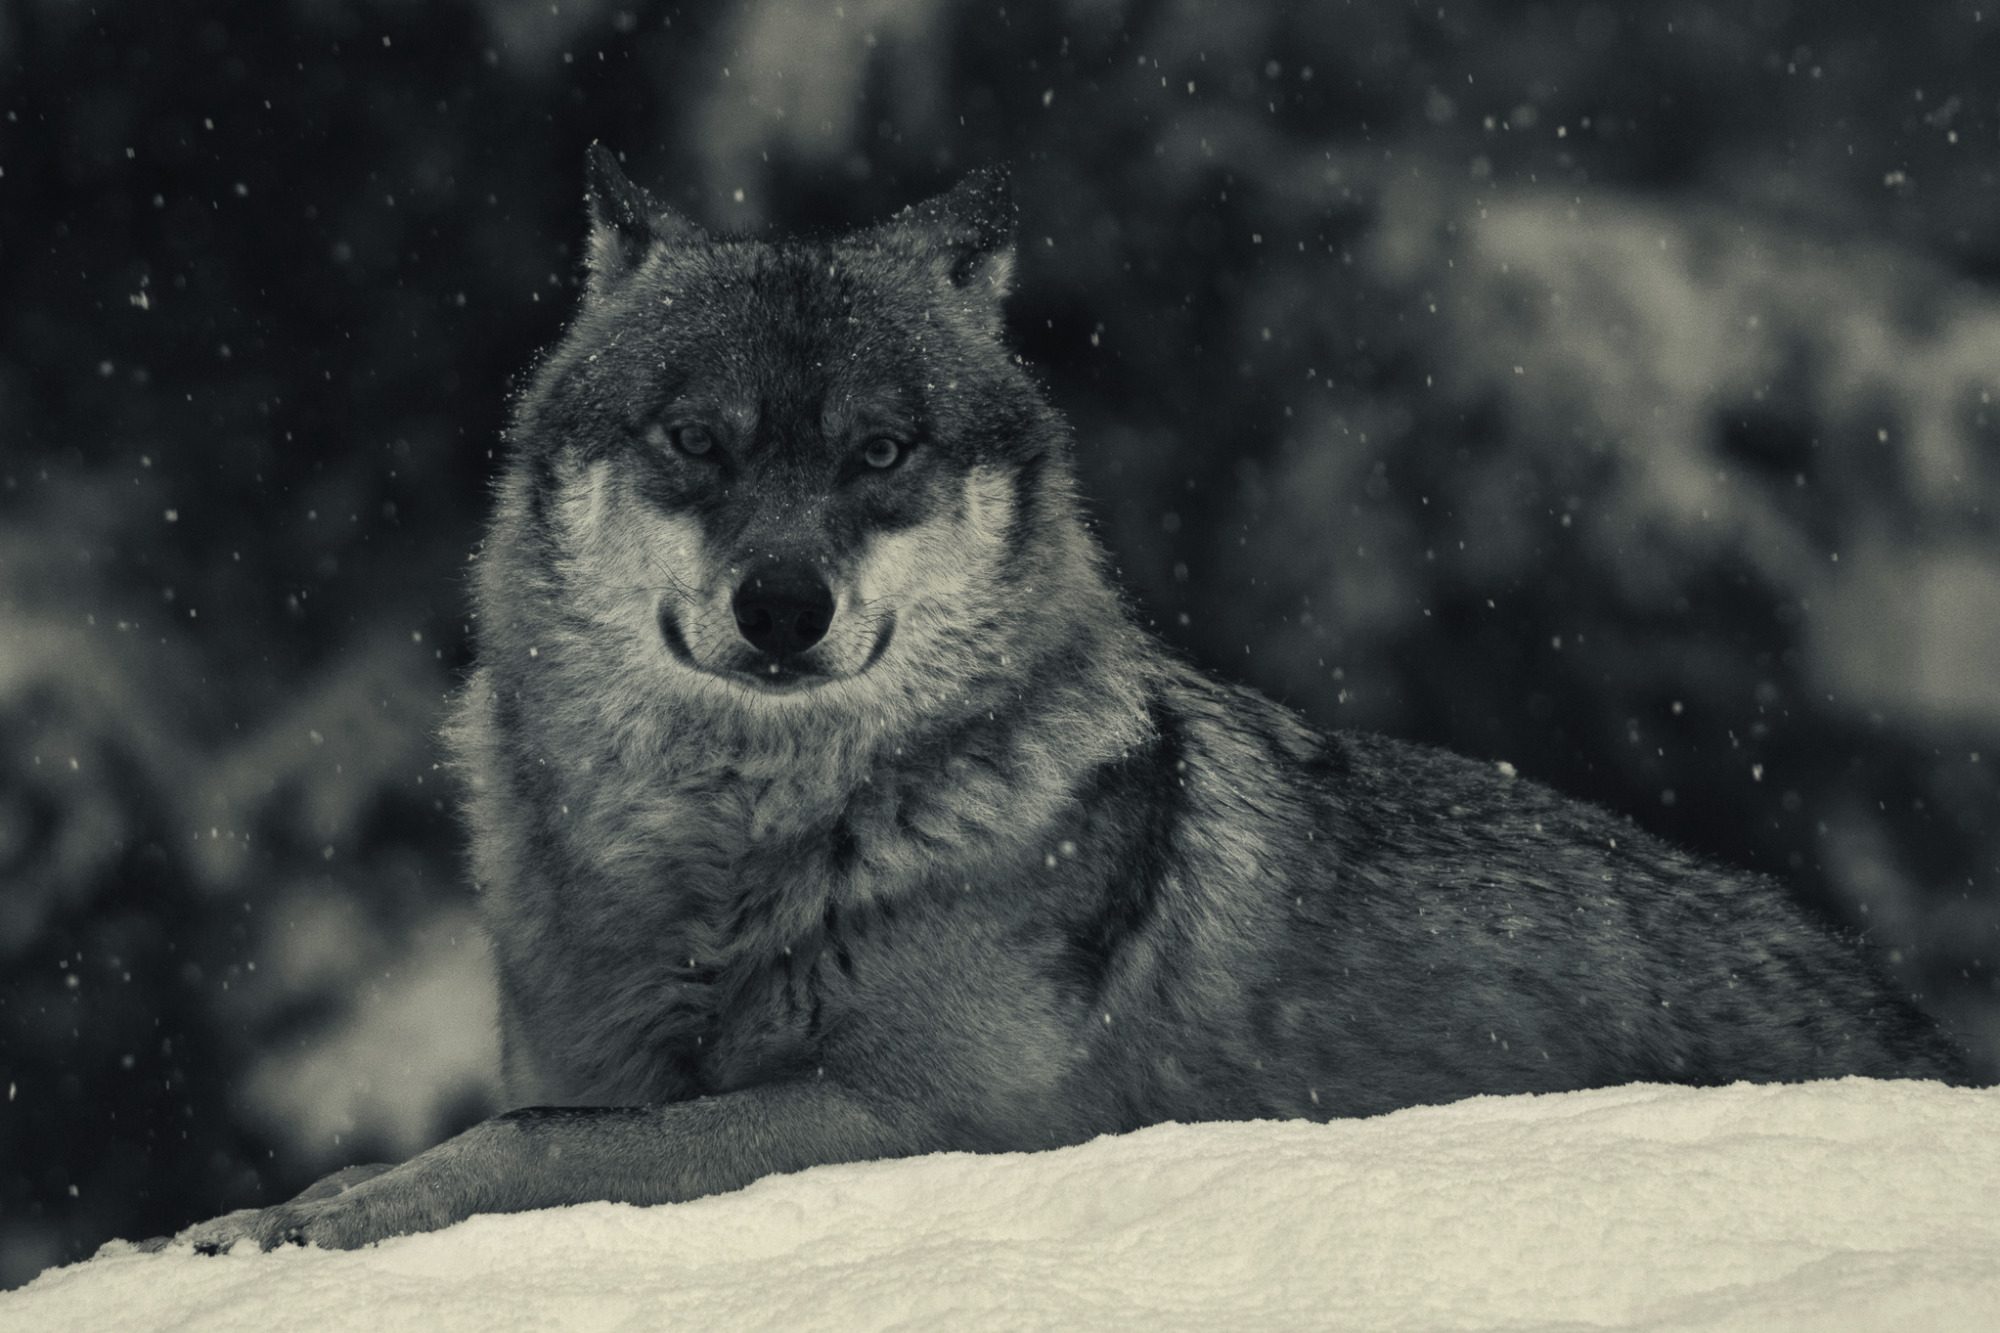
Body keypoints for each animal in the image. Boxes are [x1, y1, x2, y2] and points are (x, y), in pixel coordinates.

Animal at [173, 148, 1966, 1252]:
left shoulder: (907, 1118)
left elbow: (534, 1144)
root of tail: (1915, 1023)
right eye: (698, 441)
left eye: (881, 451)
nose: (784, 607)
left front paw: (302, 1220)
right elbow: (513, 1123)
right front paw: (268, 1212)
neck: (738, 851)